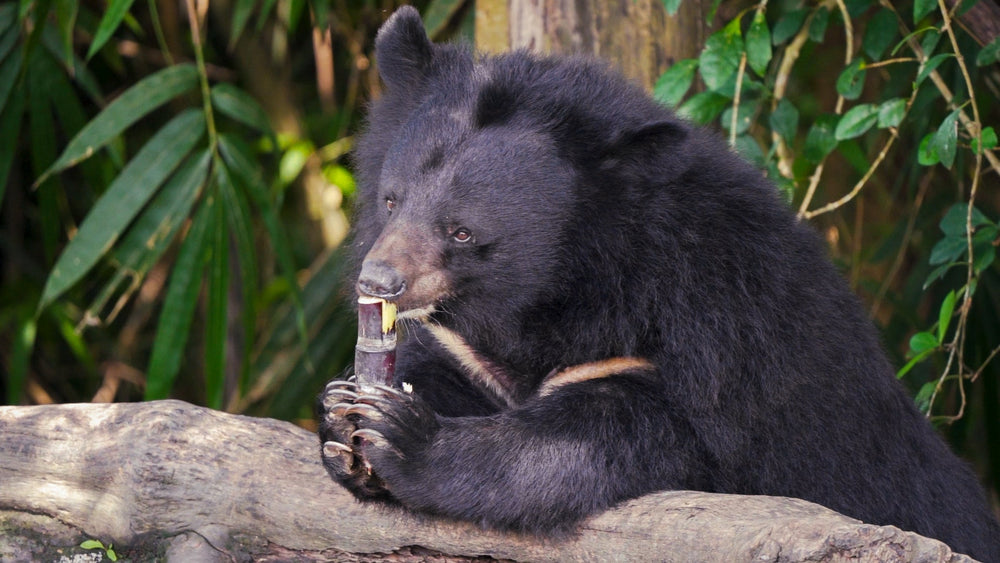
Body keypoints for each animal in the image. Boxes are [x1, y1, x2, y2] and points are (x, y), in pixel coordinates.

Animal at [318, 6, 1000, 560]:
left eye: (461, 232)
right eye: (390, 200)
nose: (378, 280)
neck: (560, 289)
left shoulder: (711, 347)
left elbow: (580, 442)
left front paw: (400, 437)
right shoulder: (472, 355)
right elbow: (442, 368)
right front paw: (342, 415)